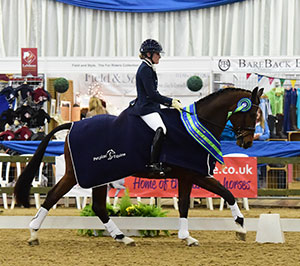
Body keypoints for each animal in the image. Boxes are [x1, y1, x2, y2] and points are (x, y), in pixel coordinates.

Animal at [14, 86, 262, 246]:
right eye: (252, 112)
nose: (247, 142)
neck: (198, 124)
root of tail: (73, 124)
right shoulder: (194, 173)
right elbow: (224, 194)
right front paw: (240, 227)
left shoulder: (188, 175)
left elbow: (189, 203)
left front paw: (188, 236)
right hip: (82, 173)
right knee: (54, 196)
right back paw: (34, 233)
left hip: (96, 175)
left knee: (96, 206)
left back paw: (122, 237)